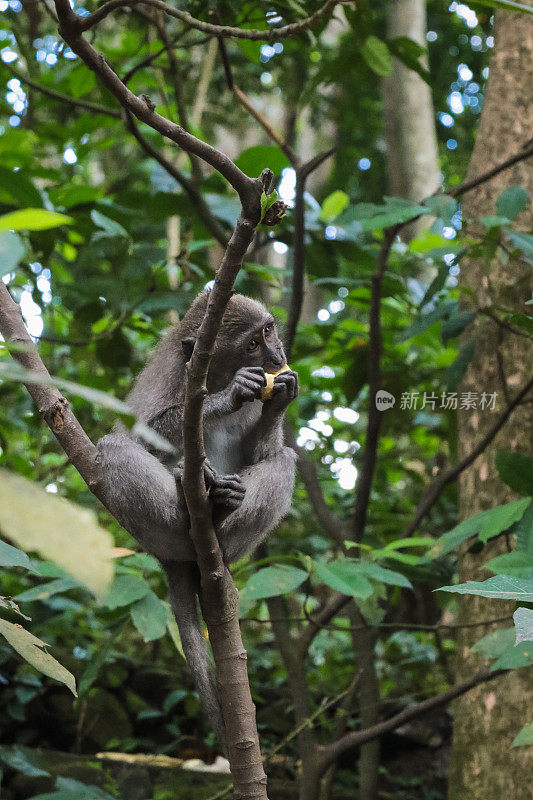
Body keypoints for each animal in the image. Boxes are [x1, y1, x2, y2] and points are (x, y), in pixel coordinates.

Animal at [95, 290, 296, 748]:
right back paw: (192, 501)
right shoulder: (170, 378)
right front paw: (222, 400)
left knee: (284, 459)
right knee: (114, 446)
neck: (215, 375)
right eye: (252, 344)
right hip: (156, 534)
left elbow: (264, 453)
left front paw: (278, 399)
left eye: (269, 330)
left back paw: (222, 516)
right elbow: (140, 433)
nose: (277, 355)